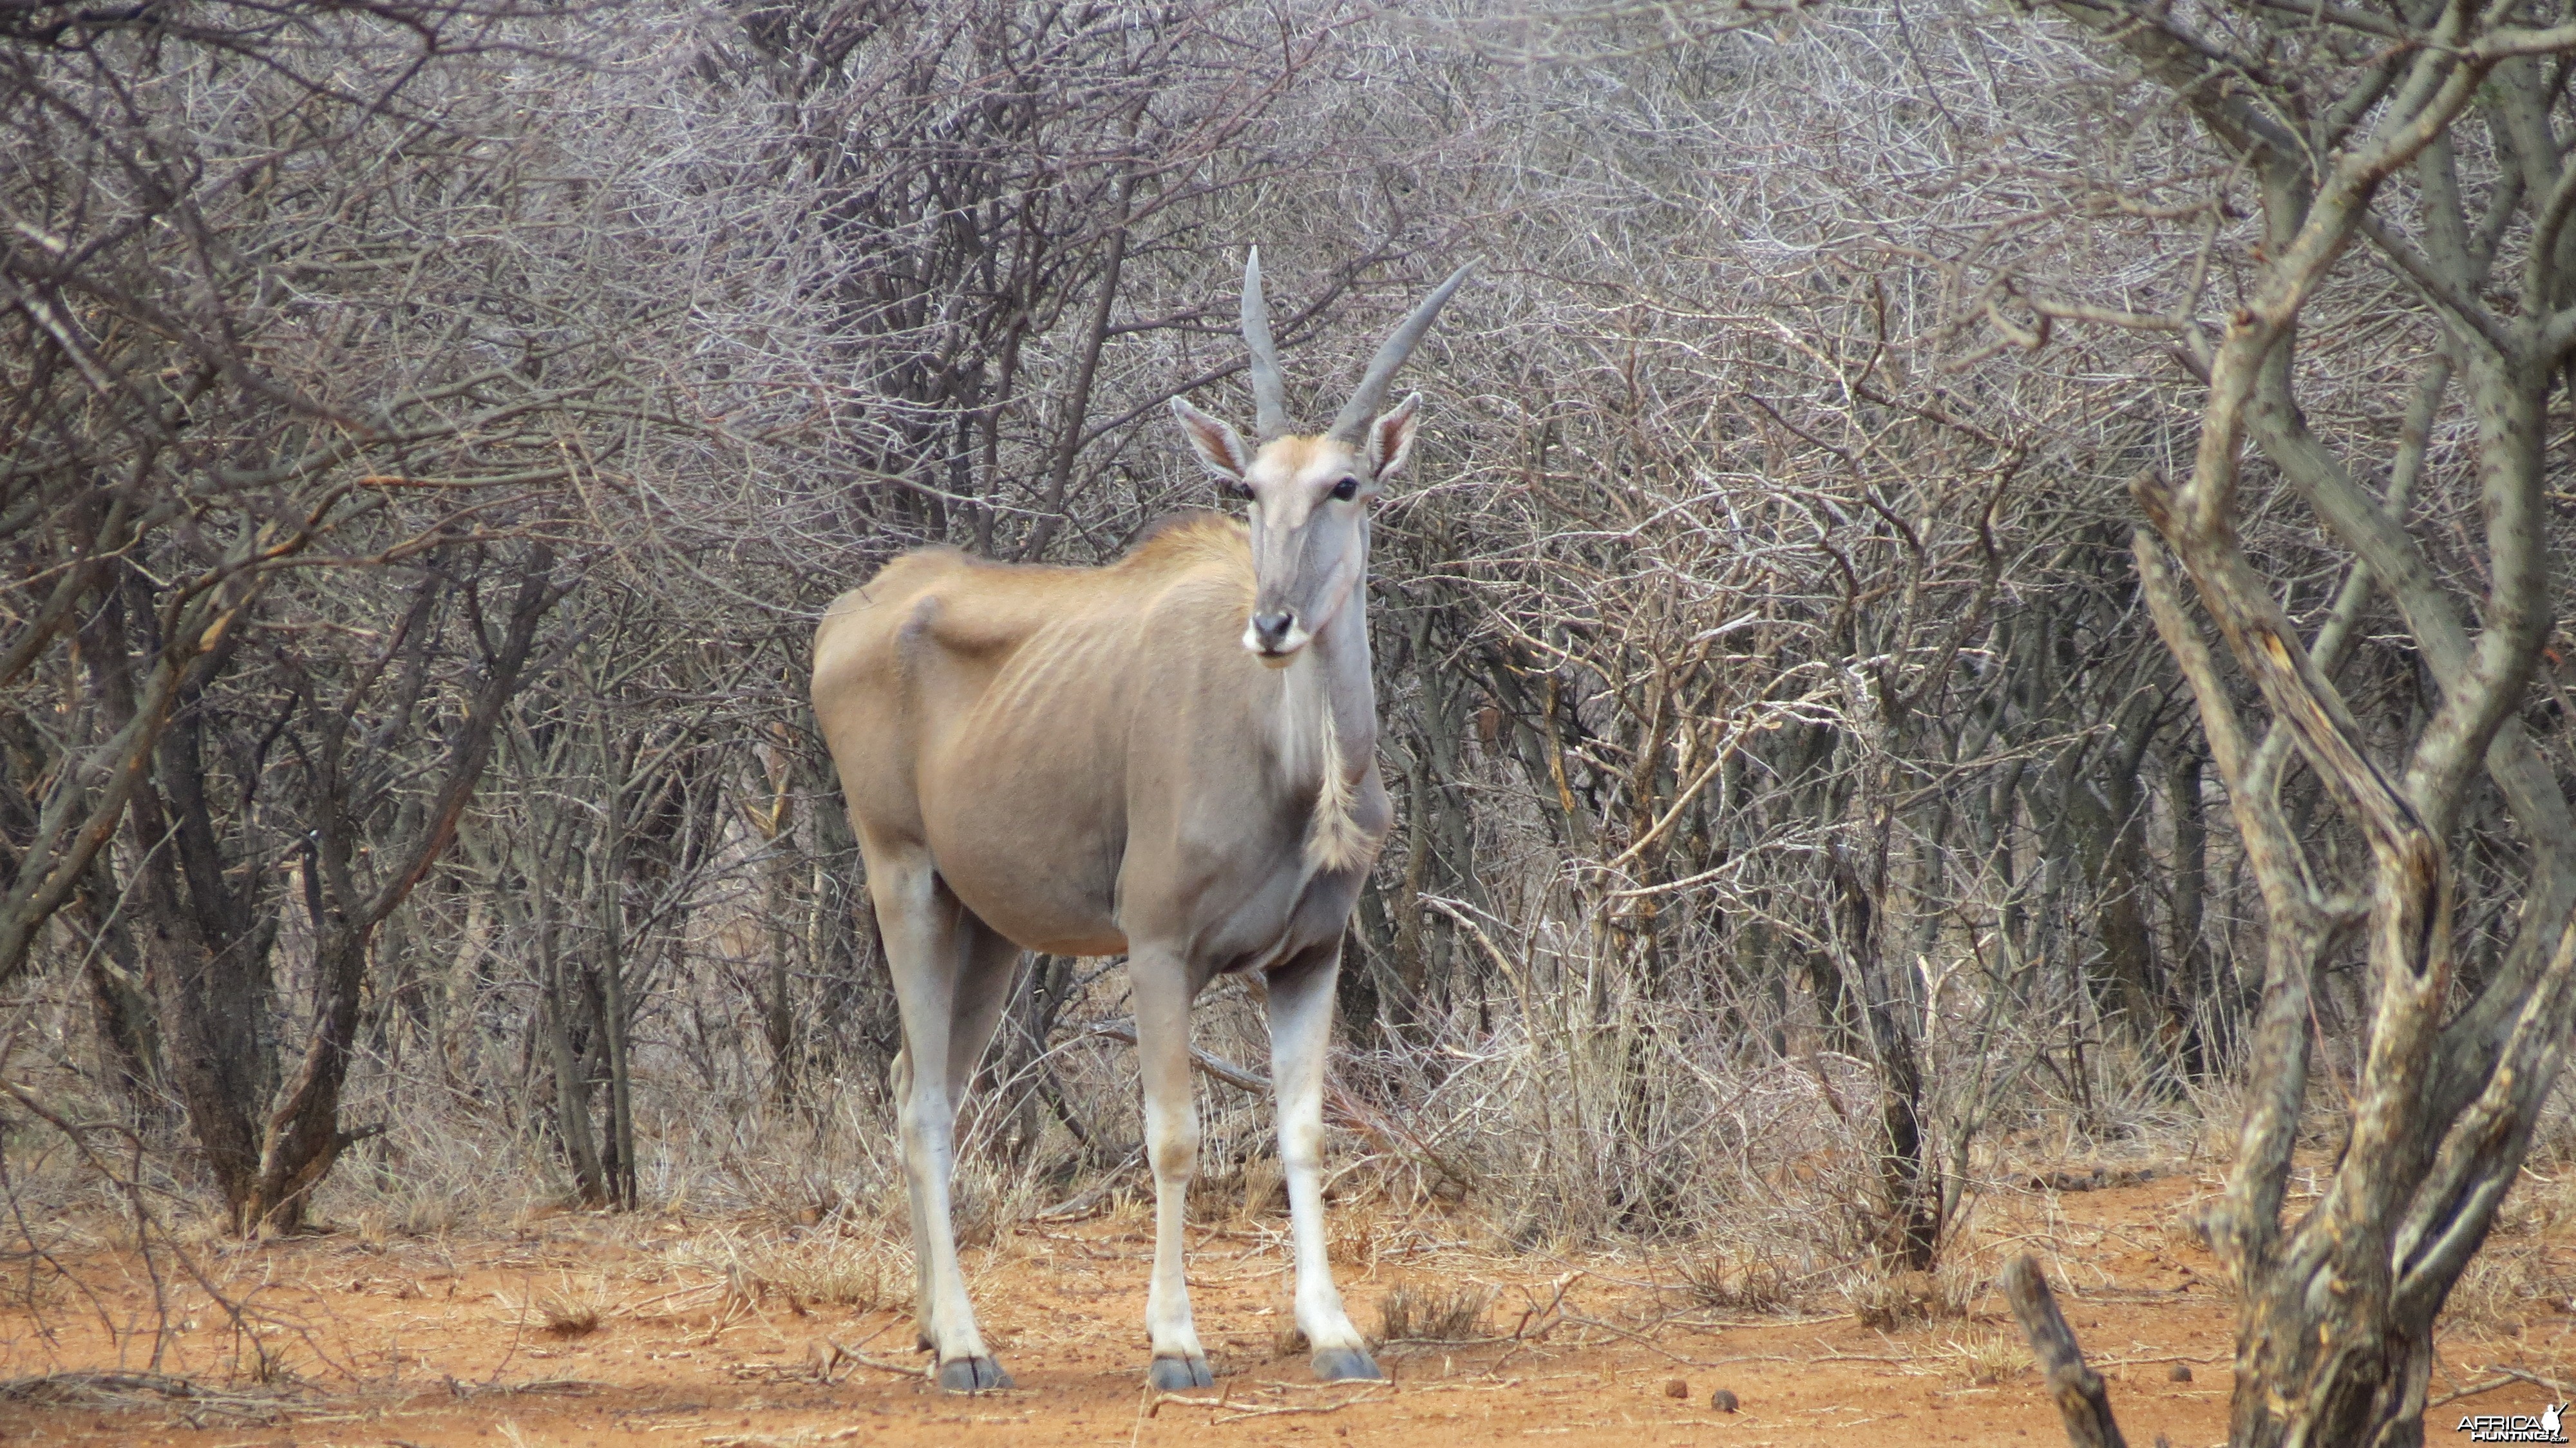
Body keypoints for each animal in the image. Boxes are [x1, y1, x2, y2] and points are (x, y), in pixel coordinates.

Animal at [814, 247, 1484, 1391]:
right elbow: (1172, 1136)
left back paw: (932, 1325)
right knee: (927, 1105)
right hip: (903, 880)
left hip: (987, 930)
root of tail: (850, 615)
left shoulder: (1309, 959)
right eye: (1249, 489)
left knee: (918, 1079)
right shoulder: (1160, 946)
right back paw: (967, 1348)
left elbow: (1304, 1132)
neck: (1294, 767)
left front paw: (1335, 1332)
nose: (1273, 623)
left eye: (1344, 485)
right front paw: (1174, 1342)